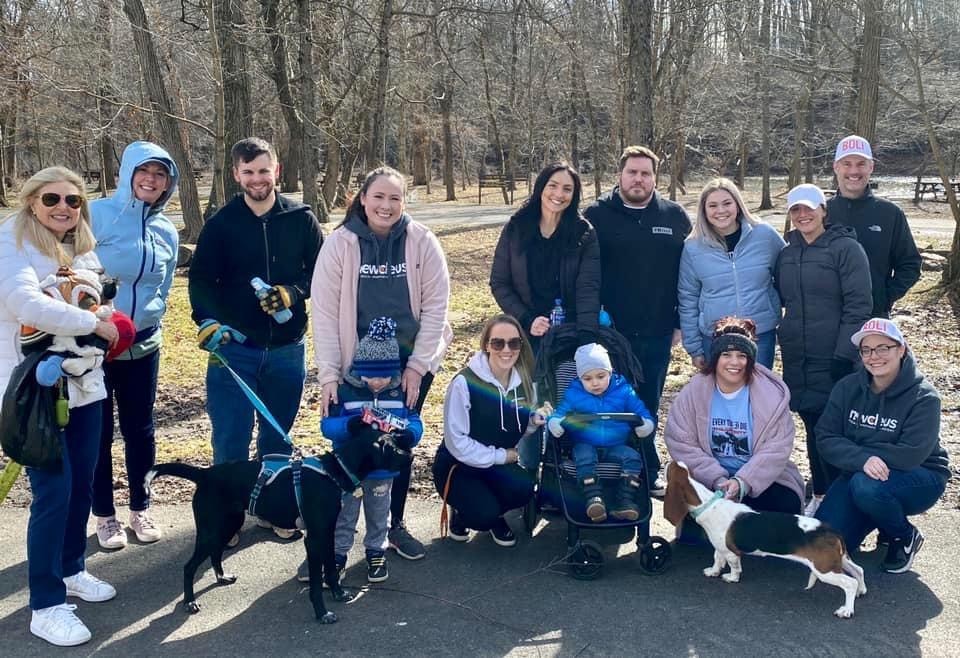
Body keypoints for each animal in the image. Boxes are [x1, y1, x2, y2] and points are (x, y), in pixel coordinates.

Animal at [146, 430, 408, 620]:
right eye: (393, 448)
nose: (411, 455)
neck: (334, 470)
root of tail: (204, 474)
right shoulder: (314, 539)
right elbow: (316, 583)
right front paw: (322, 613)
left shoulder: (327, 533)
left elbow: (331, 571)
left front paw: (339, 593)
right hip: (212, 529)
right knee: (189, 567)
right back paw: (190, 601)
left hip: (228, 524)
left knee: (215, 553)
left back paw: (221, 577)